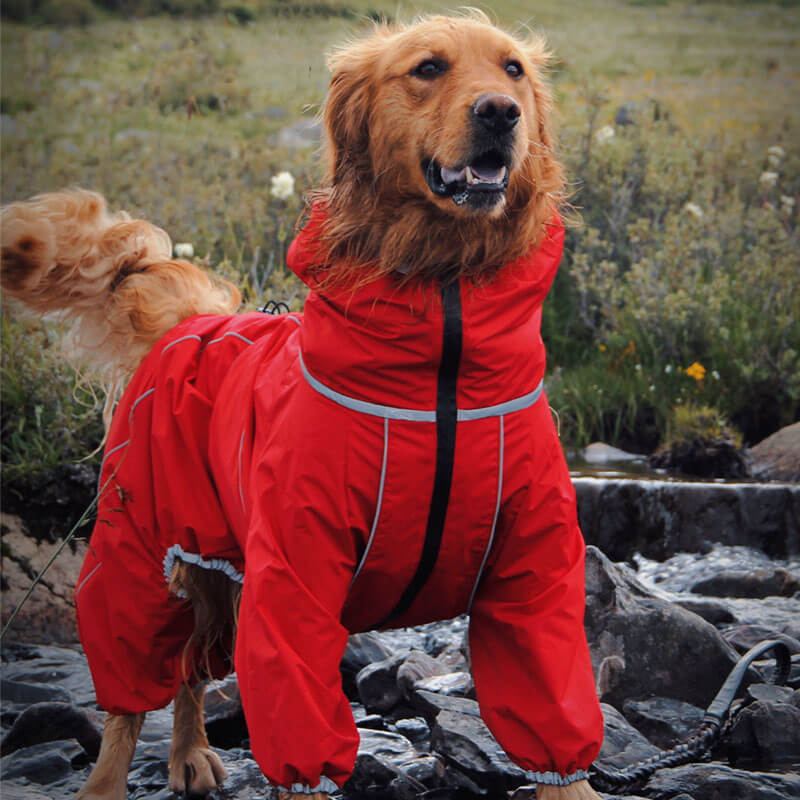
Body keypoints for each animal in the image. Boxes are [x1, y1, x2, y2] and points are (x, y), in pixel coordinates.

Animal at [0, 12, 604, 800]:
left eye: (514, 71)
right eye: (428, 68)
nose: (500, 114)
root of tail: (191, 320)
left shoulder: (533, 568)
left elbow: (550, 698)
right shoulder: (294, 572)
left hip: (215, 559)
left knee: (192, 667)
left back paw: (189, 753)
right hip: (138, 550)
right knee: (133, 691)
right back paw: (111, 778)